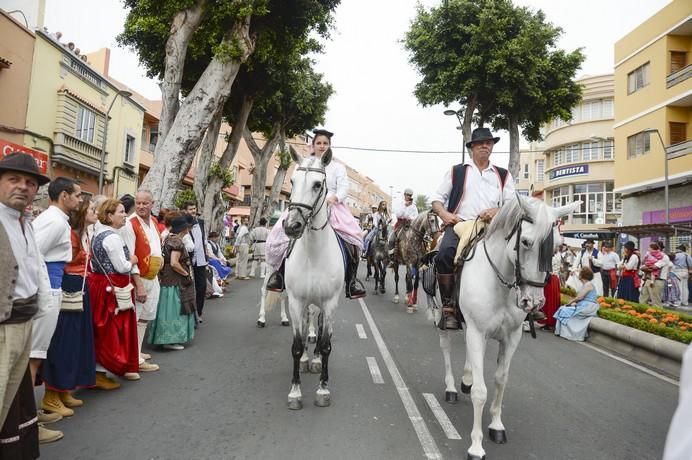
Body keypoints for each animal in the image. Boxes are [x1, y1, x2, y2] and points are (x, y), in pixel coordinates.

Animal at [438, 196, 580, 458]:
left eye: (557, 246)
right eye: (525, 242)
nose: (533, 302)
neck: (500, 284)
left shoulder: (511, 337)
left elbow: (501, 380)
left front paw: (496, 426)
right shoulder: (477, 332)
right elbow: (480, 392)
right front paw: (476, 446)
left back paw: (466, 378)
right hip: (440, 314)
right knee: (446, 347)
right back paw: (451, 387)